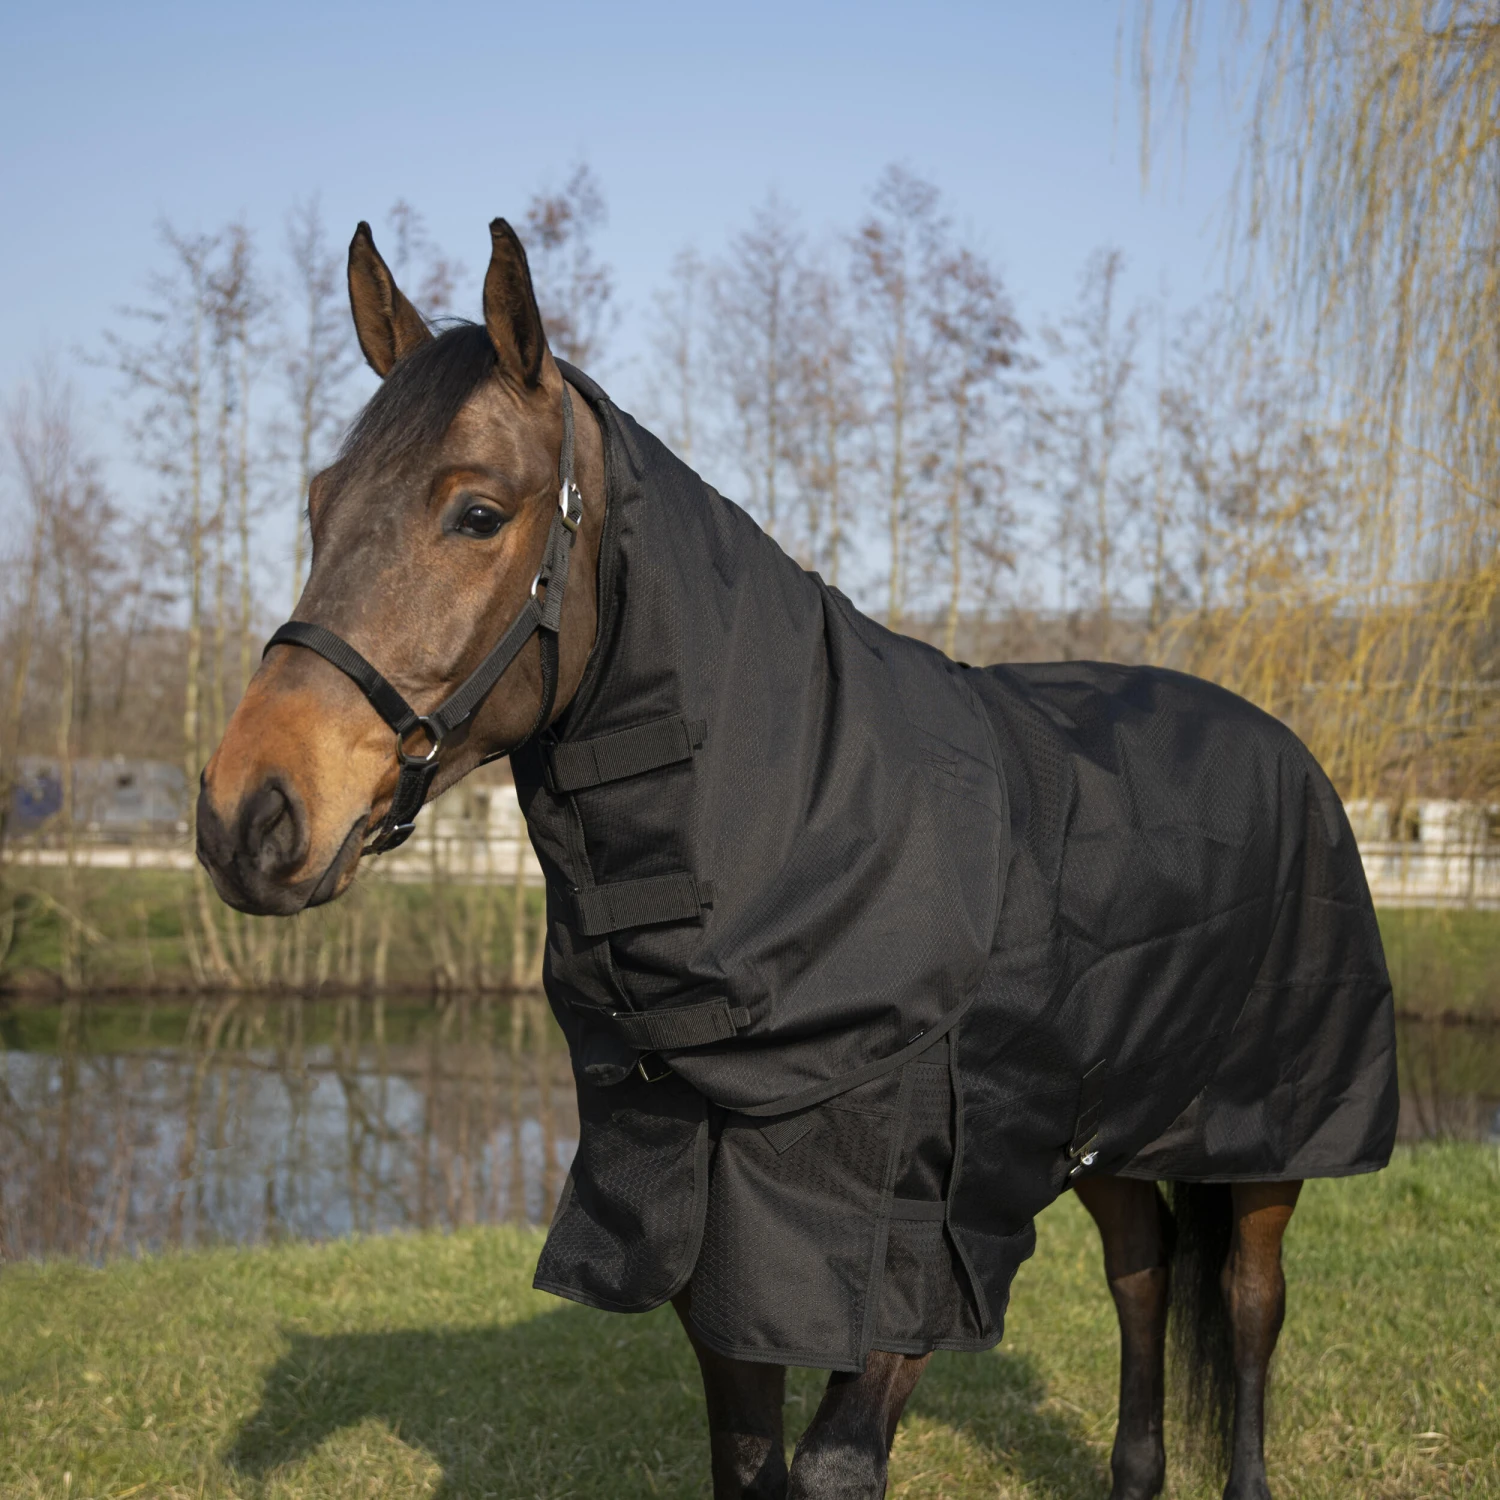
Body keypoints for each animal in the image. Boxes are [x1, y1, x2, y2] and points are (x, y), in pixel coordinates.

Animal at [197, 217, 1397, 1500]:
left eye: (475, 513)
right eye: (319, 502)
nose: (246, 814)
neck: (800, 829)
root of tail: (1284, 747)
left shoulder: (913, 1248)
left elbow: (830, 1466)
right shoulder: (723, 1255)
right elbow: (747, 1461)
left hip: (1266, 1135)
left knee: (1250, 1300)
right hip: (1110, 1125)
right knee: (1143, 1273)